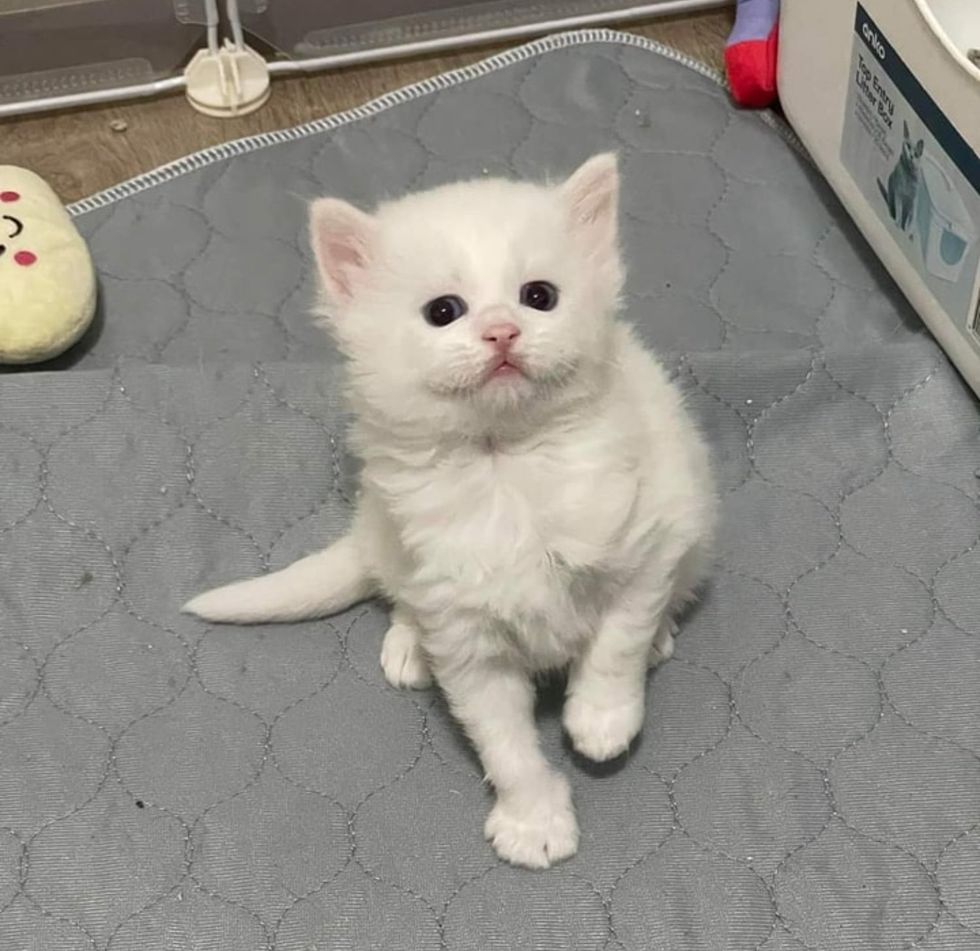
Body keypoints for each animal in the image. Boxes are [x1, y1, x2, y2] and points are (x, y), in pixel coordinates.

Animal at [186, 154, 720, 872]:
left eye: (539, 296)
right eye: (444, 311)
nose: (501, 329)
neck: (506, 467)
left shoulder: (654, 535)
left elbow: (618, 639)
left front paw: (601, 719)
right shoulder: (465, 635)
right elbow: (503, 740)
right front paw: (533, 820)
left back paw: (661, 638)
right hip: (391, 538)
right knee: (400, 596)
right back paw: (408, 644)